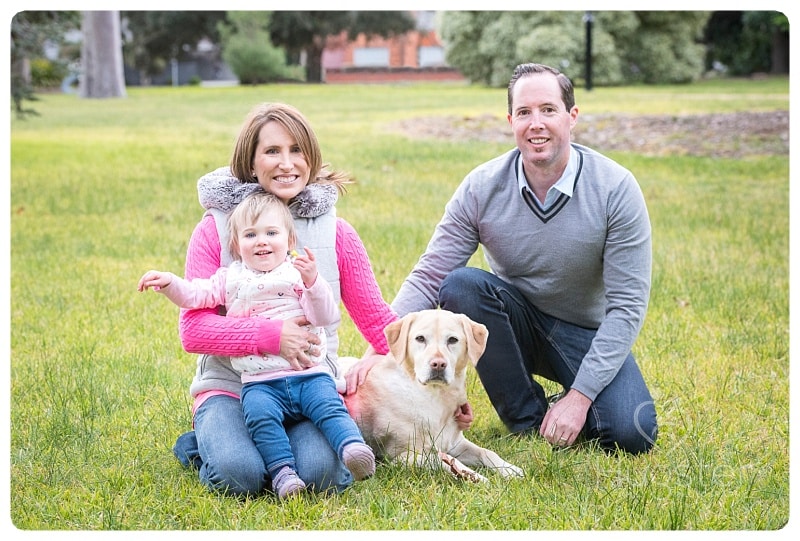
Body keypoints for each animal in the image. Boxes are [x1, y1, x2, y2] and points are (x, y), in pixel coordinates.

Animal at [340, 308, 520, 480]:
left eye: (452, 340)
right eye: (420, 338)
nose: (438, 364)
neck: (434, 397)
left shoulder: (455, 442)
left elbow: (487, 452)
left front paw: (509, 469)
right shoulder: (402, 456)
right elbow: (444, 460)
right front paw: (475, 476)